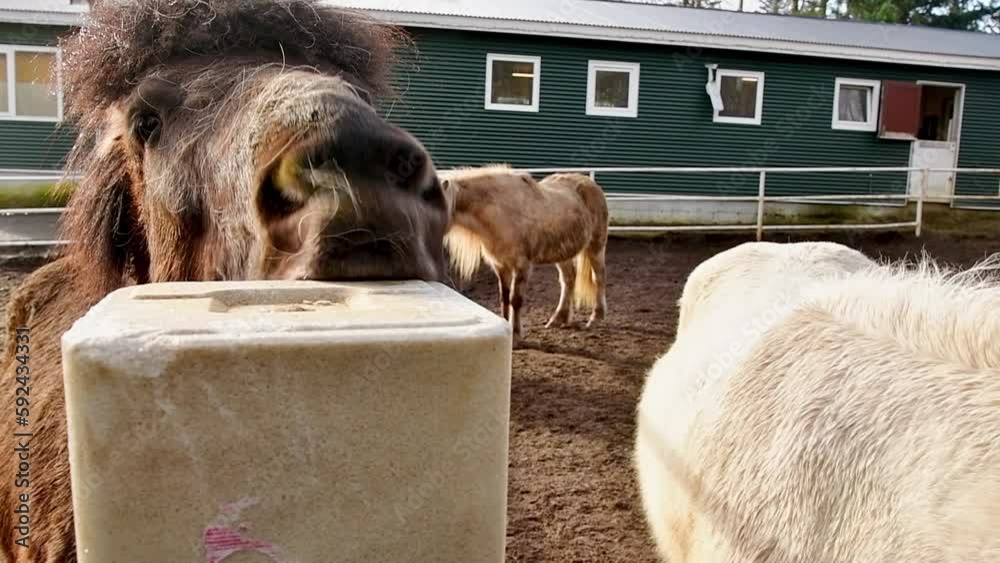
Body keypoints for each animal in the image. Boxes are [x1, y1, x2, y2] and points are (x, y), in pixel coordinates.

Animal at [440, 165, 609, 340]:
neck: (502, 212)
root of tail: (591, 184)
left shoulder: (522, 265)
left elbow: (515, 300)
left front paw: (516, 333)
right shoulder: (501, 266)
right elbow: (504, 298)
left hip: (596, 245)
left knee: (599, 277)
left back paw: (596, 317)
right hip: (562, 253)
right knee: (568, 280)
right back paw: (558, 318)